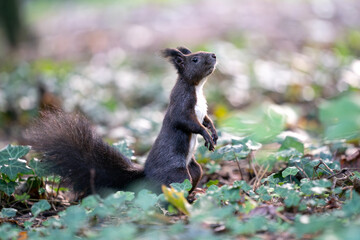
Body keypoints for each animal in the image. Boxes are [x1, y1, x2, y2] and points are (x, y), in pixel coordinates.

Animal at [26, 46, 218, 197]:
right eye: (195, 59)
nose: (214, 55)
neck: (197, 87)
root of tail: (146, 176)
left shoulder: (201, 110)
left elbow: (205, 119)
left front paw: (213, 132)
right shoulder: (180, 105)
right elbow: (187, 122)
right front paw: (206, 135)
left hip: (194, 170)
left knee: (193, 177)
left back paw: (197, 192)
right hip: (177, 175)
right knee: (172, 189)